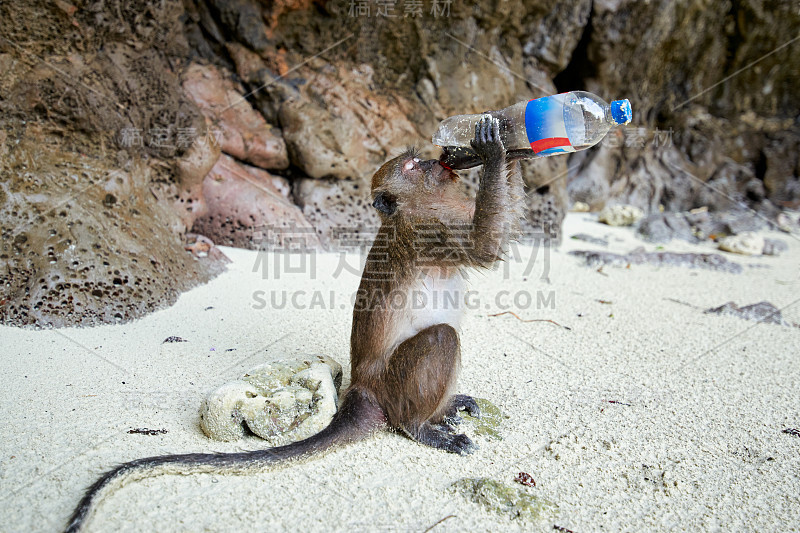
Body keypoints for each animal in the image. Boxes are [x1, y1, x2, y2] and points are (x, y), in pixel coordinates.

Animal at [64, 117, 524, 532]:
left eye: (424, 160)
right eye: (413, 166)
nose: (437, 160)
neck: (413, 209)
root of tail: (362, 388)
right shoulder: (429, 230)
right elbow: (485, 246)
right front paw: (496, 146)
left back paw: (444, 410)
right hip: (392, 384)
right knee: (441, 339)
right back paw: (419, 426)